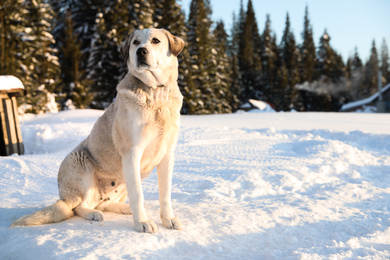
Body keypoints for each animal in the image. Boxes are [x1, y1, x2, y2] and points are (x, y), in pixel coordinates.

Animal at [10, 28, 184, 234]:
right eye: (135, 42)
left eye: (155, 41)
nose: (141, 51)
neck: (156, 93)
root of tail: (64, 197)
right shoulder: (132, 153)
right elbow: (138, 194)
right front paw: (142, 222)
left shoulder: (167, 155)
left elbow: (165, 194)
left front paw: (169, 219)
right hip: (79, 162)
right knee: (77, 207)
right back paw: (93, 214)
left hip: (120, 179)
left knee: (104, 203)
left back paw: (124, 208)